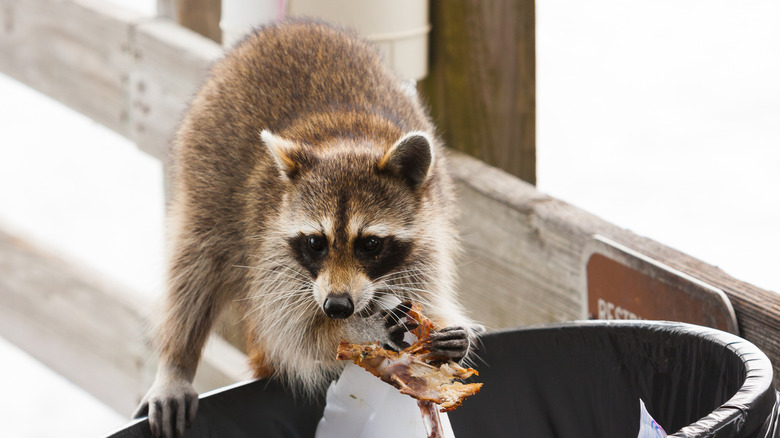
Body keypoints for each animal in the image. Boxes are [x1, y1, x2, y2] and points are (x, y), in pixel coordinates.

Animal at [133, 19, 476, 438]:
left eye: (370, 244)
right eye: (316, 242)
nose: (337, 306)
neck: (349, 140)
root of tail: (288, 26)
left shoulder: (428, 237)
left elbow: (427, 293)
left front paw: (449, 334)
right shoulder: (271, 252)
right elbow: (297, 337)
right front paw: (360, 331)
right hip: (206, 173)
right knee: (195, 264)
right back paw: (176, 362)